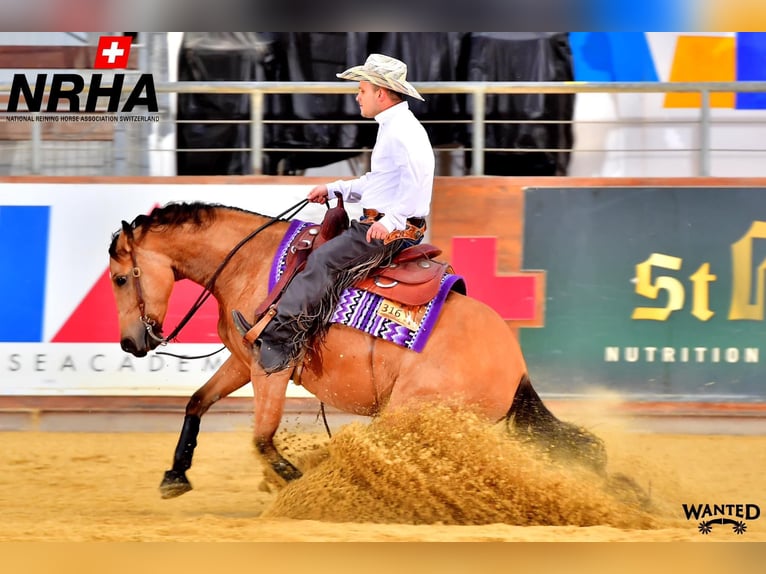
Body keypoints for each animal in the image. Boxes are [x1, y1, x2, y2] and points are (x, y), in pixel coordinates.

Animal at [109, 201, 612, 500]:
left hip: (411, 415)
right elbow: (198, 402)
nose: (130, 343)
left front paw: (299, 484)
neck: (249, 263)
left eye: (119, 278)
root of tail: (516, 368)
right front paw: (175, 475)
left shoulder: (270, 367)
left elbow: (262, 438)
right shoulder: (243, 359)